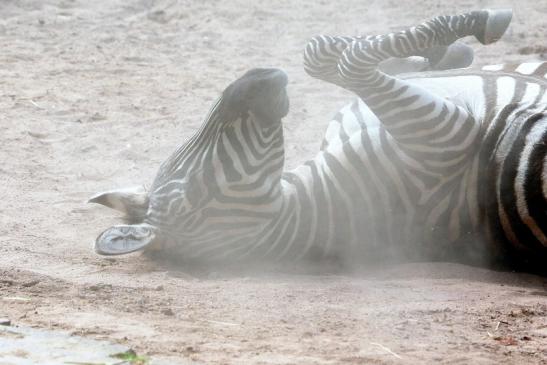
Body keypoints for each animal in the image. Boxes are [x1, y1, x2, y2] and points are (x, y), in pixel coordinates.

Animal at [90, 8, 547, 272]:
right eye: (197, 195)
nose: (253, 79)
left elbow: (319, 53)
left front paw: (443, 53)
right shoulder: (449, 137)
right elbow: (349, 64)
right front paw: (468, 32)